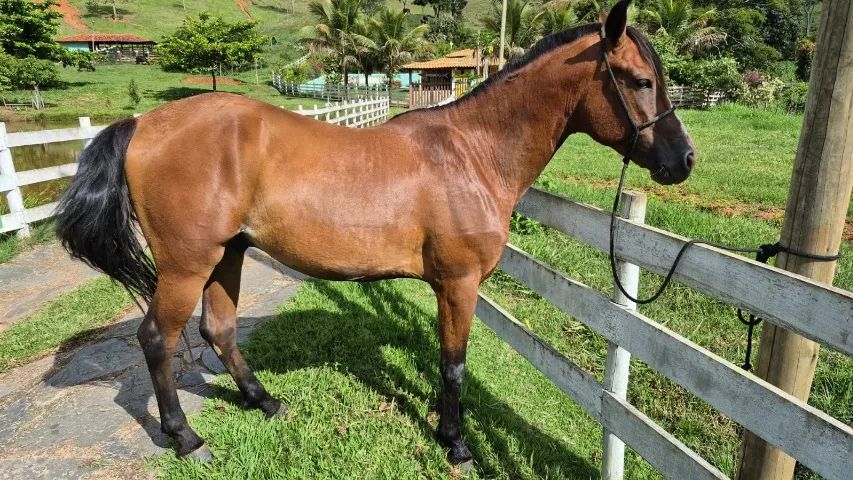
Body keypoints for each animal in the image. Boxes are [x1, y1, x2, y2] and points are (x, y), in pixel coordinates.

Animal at [56, 0, 695, 467]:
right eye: (640, 81)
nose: (683, 160)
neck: (472, 152)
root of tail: (143, 123)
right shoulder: (459, 284)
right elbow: (454, 364)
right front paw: (455, 443)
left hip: (227, 255)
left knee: (220, 329)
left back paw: (266, 403)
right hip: (186, 265)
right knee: (157, 340)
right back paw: (186, 438)